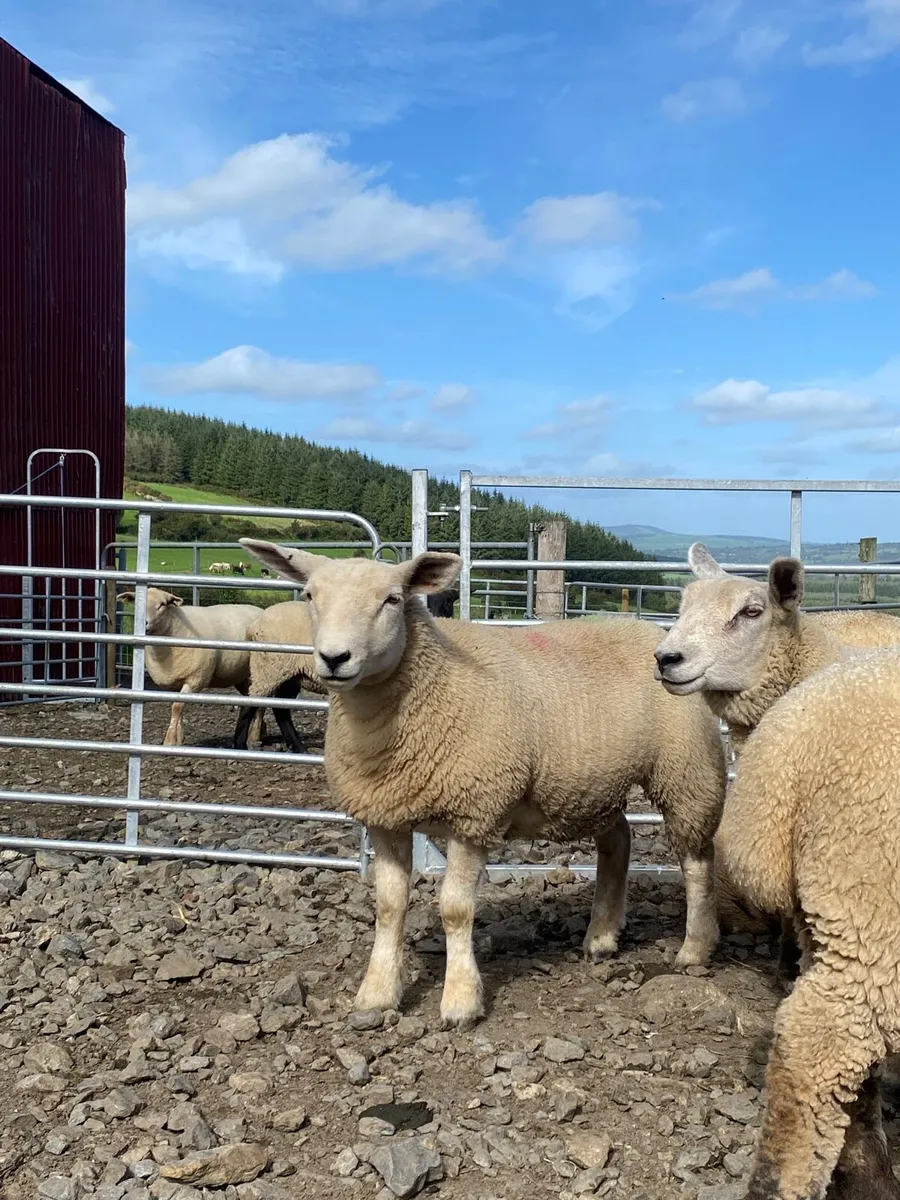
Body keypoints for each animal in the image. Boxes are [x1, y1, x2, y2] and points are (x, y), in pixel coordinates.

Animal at [119, 587, 262, 746]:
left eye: (162, 604)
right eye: (137, 602)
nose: (145, 623)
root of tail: (259, 609)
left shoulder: (195, 678)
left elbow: (177, 707)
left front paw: (169, 741)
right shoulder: (173, 683)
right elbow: (177, 708)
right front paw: (179, 739)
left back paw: (255, 736)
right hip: (241, 676)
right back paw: (258, 732)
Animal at [239, 538, 727, 1031]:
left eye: (392, 599)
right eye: (309, 596)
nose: (335, 659)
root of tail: (650, 633)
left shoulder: (474, 811)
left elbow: (455, 909)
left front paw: (460, 1001)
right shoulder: (385, 817)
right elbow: (389, 907)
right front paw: (376, 994)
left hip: (687, 770)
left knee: (696, 861)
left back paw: (694, 948)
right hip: (592, 785)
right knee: (619, 842)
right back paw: (602, 936)